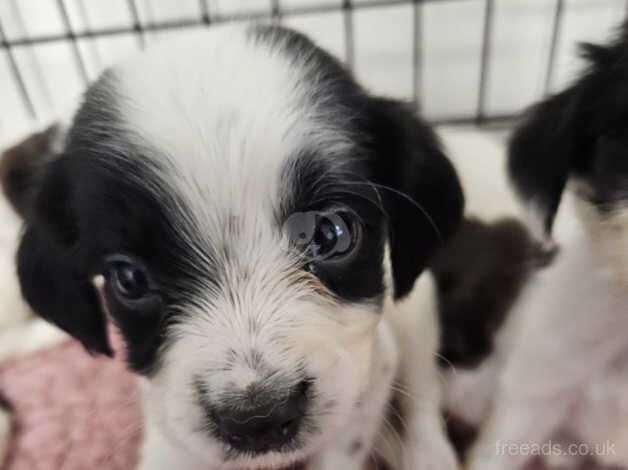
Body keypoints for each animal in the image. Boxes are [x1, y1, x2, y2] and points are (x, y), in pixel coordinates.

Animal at [2, 24, 464, 470]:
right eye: (129, 278)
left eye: (331, 234)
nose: (259, 418)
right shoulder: (168, 419)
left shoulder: (369, 377)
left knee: (424, 390)